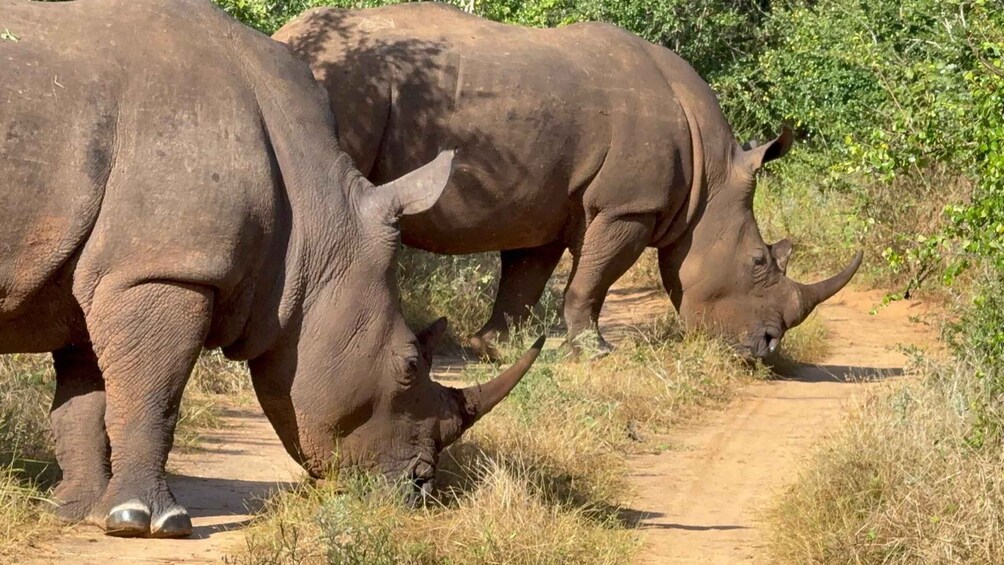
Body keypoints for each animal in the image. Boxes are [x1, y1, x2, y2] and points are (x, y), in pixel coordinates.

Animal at [1, 0, 542, 539]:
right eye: (409, 365)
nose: (420, 489)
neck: (313, 214)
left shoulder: (111, 273)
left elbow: (84, 402)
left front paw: (83, 512)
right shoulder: (163, 269)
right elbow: (154, 396)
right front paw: (149, 521)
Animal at [274, 3, 863, 359]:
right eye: (759, 261)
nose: (765, 347)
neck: (710, 180)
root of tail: (285, 39)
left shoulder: (544, 204)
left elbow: (523, 280)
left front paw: (493, 347)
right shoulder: (630, 206)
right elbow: (593, 279)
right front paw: (595, 351)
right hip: (345, 83)